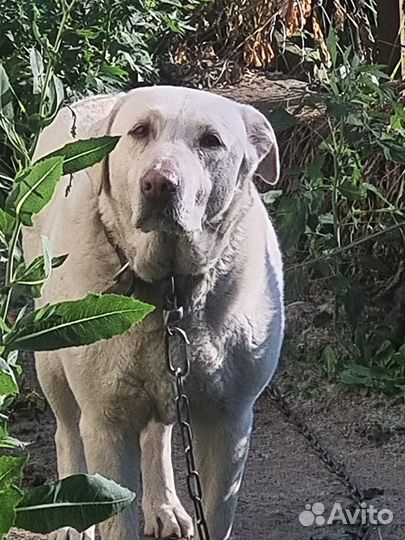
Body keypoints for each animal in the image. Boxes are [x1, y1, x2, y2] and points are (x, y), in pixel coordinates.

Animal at [23, 86, 284, 536]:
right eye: (140, 131)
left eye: (211, 141)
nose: (159, 183)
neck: (169, 289)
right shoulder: (106, 424)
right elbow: (115, 519)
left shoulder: (230, 426)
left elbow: (215, 516)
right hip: (52, 362)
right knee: (67, 432)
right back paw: (70, 523)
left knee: (157, 435)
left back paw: (163, 506)